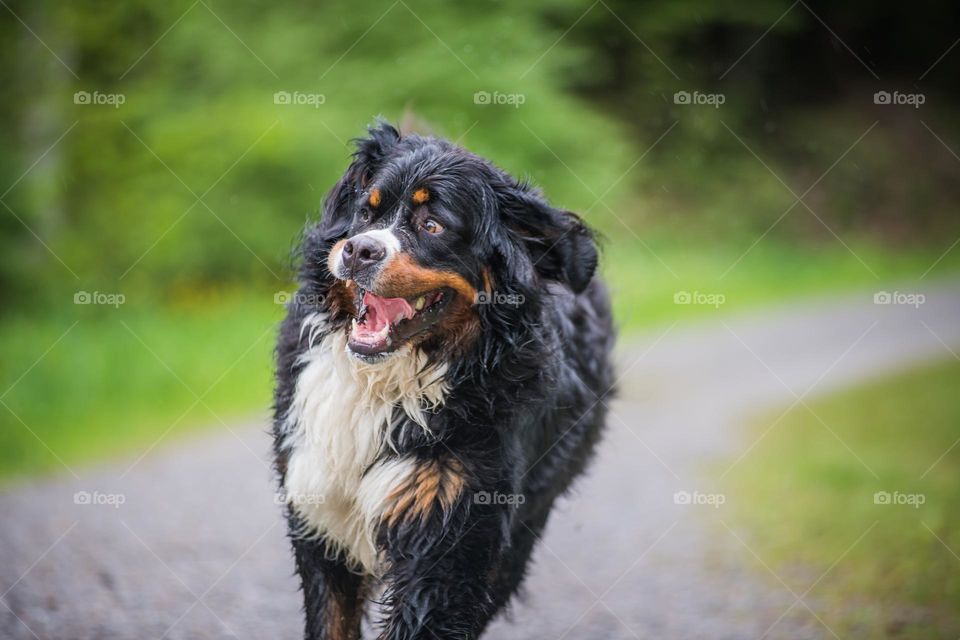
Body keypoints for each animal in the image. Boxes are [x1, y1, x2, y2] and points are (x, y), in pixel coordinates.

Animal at [272, 121, 616, 640]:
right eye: (366, 211)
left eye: (432, 225)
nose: (358, 250)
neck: (389, 381)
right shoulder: (321, 521)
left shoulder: (452, 532)